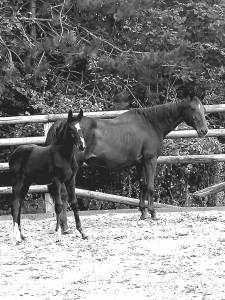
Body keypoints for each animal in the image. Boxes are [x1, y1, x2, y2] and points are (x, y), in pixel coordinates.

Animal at [9, 109, 85, 244]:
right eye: (71, 130)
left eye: (80, 128)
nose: (82, 146)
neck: (64, 155)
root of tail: (13, 154)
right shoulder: (57, 181)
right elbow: (59, 206)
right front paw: (59, 235)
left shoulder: (71, 181)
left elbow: (75, 203)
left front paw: (82, 232)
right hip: (17, 182)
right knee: (15, 204)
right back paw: (17, 237)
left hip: (26, 183)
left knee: (19, 204)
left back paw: (22, 236)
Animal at [46, 96, 209, 230]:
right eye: (193, 109)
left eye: (204, 109)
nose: (204, 130)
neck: (151, 124)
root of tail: (62, 123)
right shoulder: (150, 160)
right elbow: (150, 186)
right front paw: (153, 213)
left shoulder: (140, 162)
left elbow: (143, 185)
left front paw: (143, 213)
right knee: (64, 195)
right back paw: (65, 226)